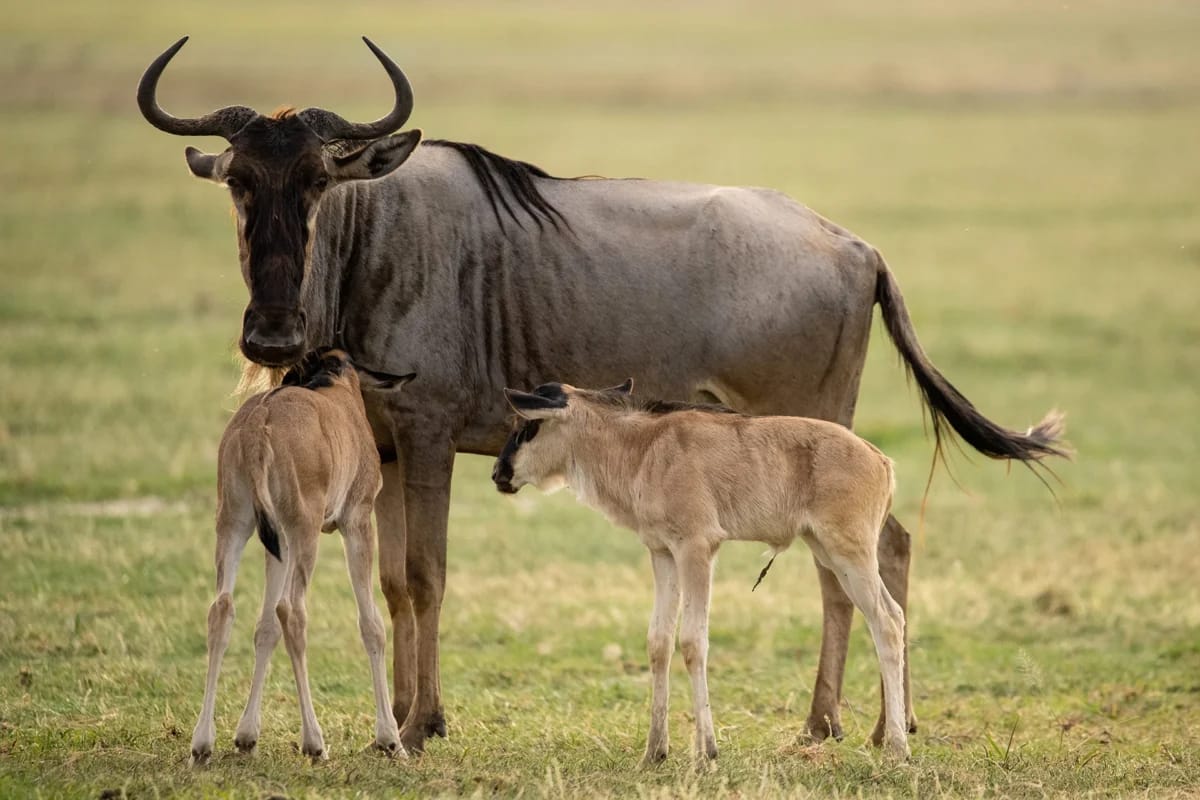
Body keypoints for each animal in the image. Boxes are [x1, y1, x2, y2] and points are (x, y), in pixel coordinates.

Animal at [190, 348, 415, 765]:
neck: (334, 383)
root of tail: (258, 425)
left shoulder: (276, 539)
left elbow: (264, 628)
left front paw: (246, 735)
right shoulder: (357, 522)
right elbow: (371, 623)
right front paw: (390, 738)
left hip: (235, 522)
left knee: (222, 608)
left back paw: (201, 743)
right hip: (304, 529)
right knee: (292, 610)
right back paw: (315, 742)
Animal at [494, 381, 1027, 763]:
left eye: (527, 427)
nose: (499, 474)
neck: (645, 448)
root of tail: (880, 459)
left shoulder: (698, 549)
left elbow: (693, 641)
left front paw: (706, 752)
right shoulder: (662, 553)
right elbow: (659, 642)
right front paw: (654, 751)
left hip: (850, 554)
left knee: (889, 621)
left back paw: (897, 746)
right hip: (830, 553)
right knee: (886, 618)